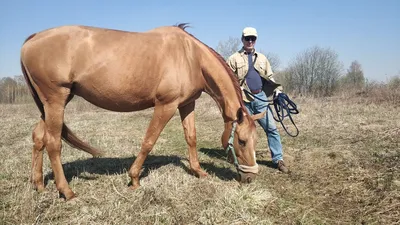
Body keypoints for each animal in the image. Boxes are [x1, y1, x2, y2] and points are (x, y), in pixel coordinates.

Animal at [21, 23, 266, 200]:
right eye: (242, 141)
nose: (250, 177)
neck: (191, 57)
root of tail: (32, 39)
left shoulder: (187, 104)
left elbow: (191, 137)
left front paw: (198, 171)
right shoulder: (166, 105)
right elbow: (149, 140)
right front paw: (134, 179)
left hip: (51, 104)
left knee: (39, 138)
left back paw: (39, 184)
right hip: (56, 101)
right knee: (53, 144)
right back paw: (66, 191)